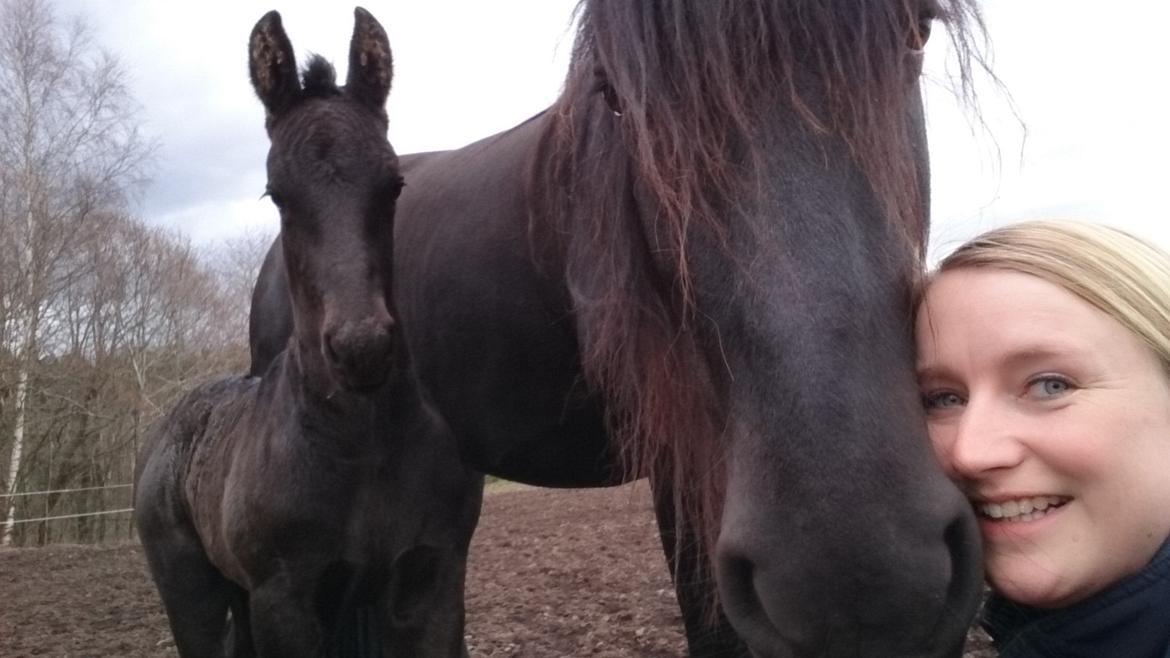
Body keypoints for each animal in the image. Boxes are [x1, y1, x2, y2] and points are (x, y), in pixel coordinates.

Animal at [134, 8, 482, 650]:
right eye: (277, 194)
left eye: (394, 184)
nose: (361, 349)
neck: (362, 446)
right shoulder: (285, 599)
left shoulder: (434, 580)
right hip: (192, 594)